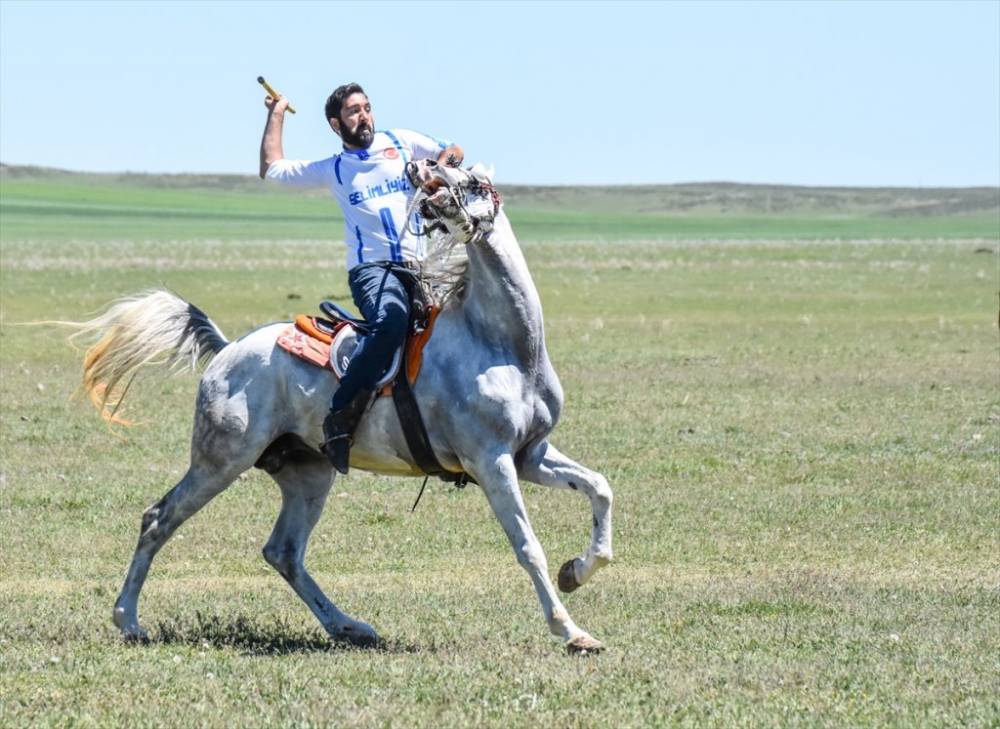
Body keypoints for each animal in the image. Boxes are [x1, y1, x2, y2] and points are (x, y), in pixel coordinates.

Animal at [72, 164, 608, 656]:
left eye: (473, 180)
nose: (427, 176)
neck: (504, 343)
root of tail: (226, 351)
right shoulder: (491, 461)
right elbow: (528, 546)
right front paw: (573, 631)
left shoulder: (529, 454)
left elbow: (599, 488)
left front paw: (577, 571)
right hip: (220, 461)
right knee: (159, 518)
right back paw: (129, 620)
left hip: (308, 472)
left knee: (283, 552)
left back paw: (350, 627)